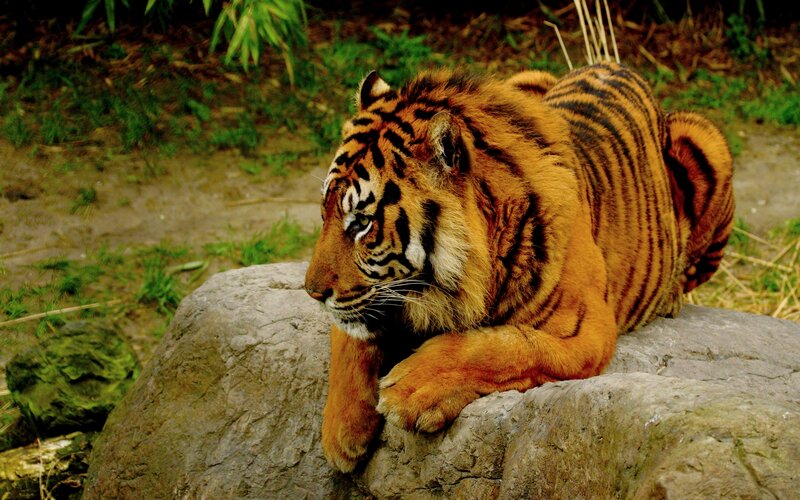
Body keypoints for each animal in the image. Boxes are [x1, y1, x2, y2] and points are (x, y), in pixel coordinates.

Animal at [304, 62, 734, 472]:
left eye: (362, 222)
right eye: (325, 211)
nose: (311, 292)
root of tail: (617, 66)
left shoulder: (588, 330)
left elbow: (506, 345)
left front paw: (411, 387)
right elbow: (349, 339)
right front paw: (341, 433)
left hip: (708, 141)